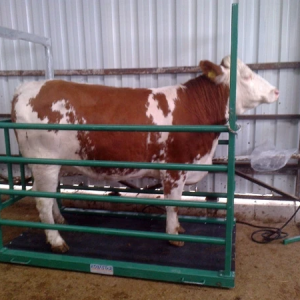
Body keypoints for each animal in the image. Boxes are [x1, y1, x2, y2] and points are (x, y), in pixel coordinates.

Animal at [11, 55, 278, 252]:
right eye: (246, 75)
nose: (276, 91)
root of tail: (25, 88)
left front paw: (178, 229)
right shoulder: (175, 170)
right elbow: (174, 204)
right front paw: (174, 235)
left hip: (48, 165)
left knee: (45, 195)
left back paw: (61, 222)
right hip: (44, 163)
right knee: (43, 201)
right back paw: (56, 241)